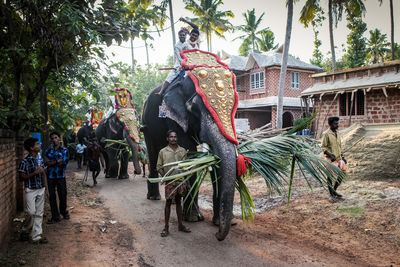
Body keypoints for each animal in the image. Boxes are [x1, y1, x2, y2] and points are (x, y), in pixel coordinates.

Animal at [142, 49, 239, 242]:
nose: (217, 235)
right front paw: (194, 218)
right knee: (153, 155)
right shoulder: (174, 116)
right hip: (146, 127)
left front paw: (225, 222)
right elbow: (189, 154)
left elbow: (216, 160)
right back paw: (155, 197)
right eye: (193, 109)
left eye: (235, 107)